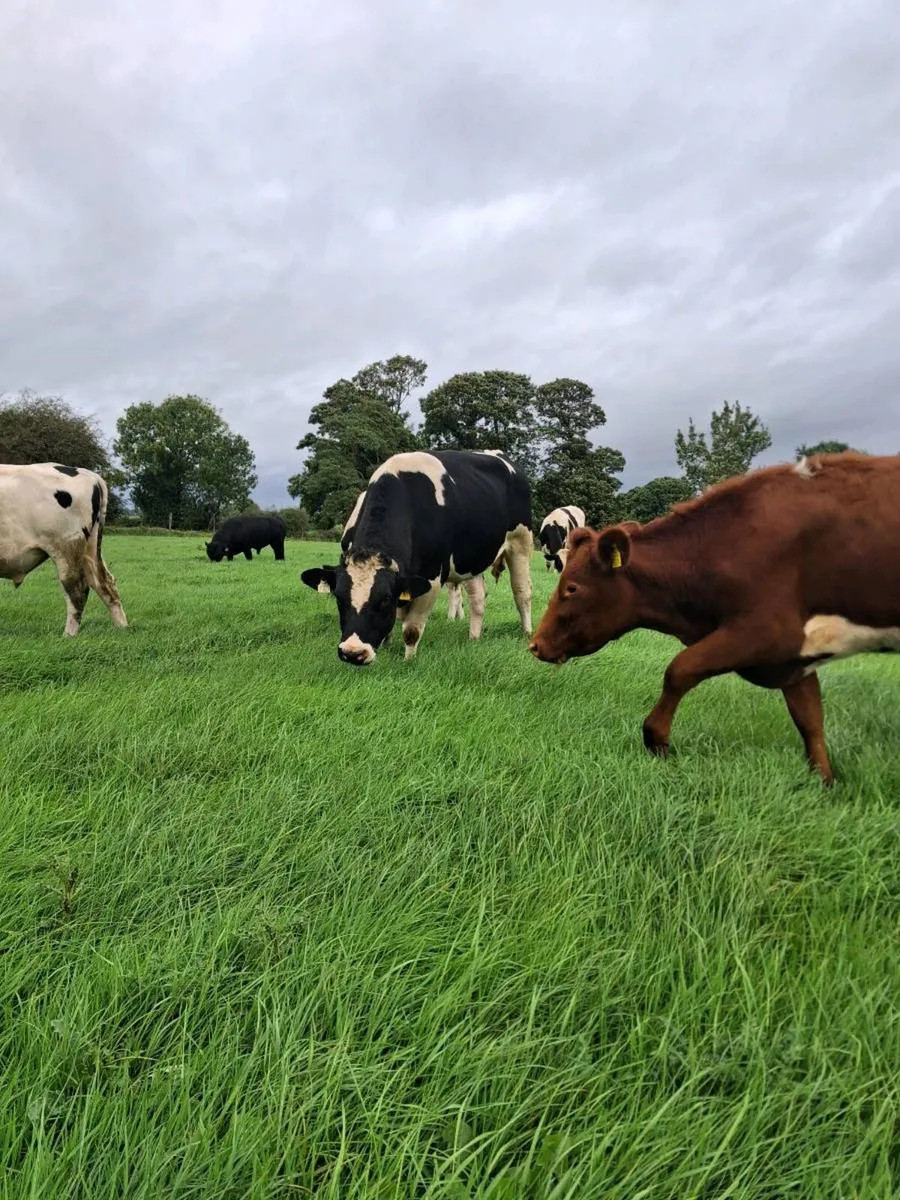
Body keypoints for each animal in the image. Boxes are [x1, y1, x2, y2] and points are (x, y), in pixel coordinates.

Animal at [0, 462, 127, 636]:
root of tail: (91, 475)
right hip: (90, 548)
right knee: (105, 583)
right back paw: (122, 627)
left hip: (67, 545)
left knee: (77, 587)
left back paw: (68, 635)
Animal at [300, 449, 533, 665]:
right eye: (339, 597)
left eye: (384, 599)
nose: (353, 653)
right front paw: (386, 645)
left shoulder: (431, 580)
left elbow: (411, 630)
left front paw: (408, 662)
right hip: (470, 559)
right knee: (478, 597)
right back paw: (473, 638)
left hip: (521, 542)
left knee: (522, 591)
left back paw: (527, 634)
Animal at [529, 452, 900, 784]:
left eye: (572, 587)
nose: (535, 644)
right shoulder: (794, 658)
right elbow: (810, 720)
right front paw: (825, 785)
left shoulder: (766, 632)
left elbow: (680, 669)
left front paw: (657, 740)